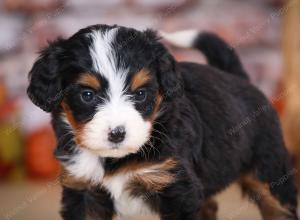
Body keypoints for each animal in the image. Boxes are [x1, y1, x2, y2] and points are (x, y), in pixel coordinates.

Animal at [27, 24, 298, 220]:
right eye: (87, 95)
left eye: (140, 94)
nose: (117, 133)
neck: (115, 160)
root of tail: (236, 78)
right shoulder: (83, 189)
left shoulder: (176, 188)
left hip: (269, 166)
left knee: (279, 204)